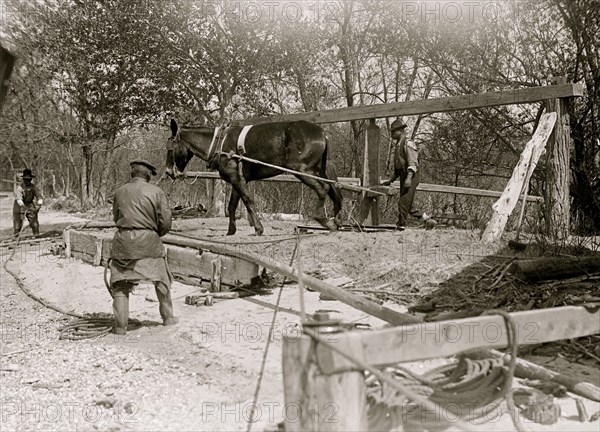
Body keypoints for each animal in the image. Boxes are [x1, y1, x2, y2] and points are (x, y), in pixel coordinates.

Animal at [165, 119, 342, 236]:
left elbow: (248, 201)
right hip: (319, 170)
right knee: (335, 191)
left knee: (323, 189)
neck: (219, 143)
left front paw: (259, 228)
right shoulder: (238, 179)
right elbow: (232, 206)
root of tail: (322, 134)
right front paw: (231, 231)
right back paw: (337, 221)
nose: (168, 172)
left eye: (170, 149)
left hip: (302, 170)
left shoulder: (236, 178)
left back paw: (323, 220)